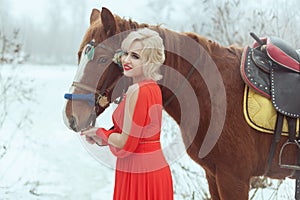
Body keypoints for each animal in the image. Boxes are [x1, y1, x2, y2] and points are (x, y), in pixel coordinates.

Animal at [62, 7, 296, 199]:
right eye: (79, 55)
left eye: (102, 60)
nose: (71, 117)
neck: (215, 93)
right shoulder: (214, 176)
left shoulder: (233, 178)